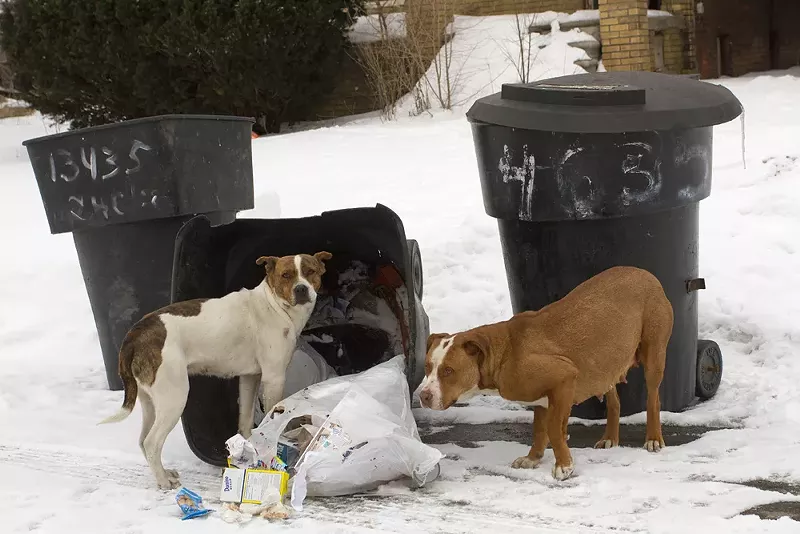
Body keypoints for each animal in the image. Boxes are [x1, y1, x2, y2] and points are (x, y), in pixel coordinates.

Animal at [100, 251, 332, 490]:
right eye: (286, 275)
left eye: (310, 271)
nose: (301, 289)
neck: (275, 306)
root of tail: (136, 332)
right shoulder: (274, 378)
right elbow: (272, 414)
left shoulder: (250, 378)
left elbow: (245, 420)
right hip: (174, 397)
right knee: (151, 442)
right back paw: (164, 481)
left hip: (151, 401)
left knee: (142, 440)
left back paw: (162, 473)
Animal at [418, 268, 676, 482]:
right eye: (427, 367)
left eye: (449, 370)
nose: (423, 396)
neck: (504, 353)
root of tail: (646, 274)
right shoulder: (542, 396)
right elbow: (540, 430)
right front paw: (533, 458)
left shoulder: (564, 379)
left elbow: (552, 428)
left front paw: (564, 465)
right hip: (606, 364)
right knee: (614, 401)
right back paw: (610, 438)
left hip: (653, 356)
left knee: (653, 398)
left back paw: (653, 437)